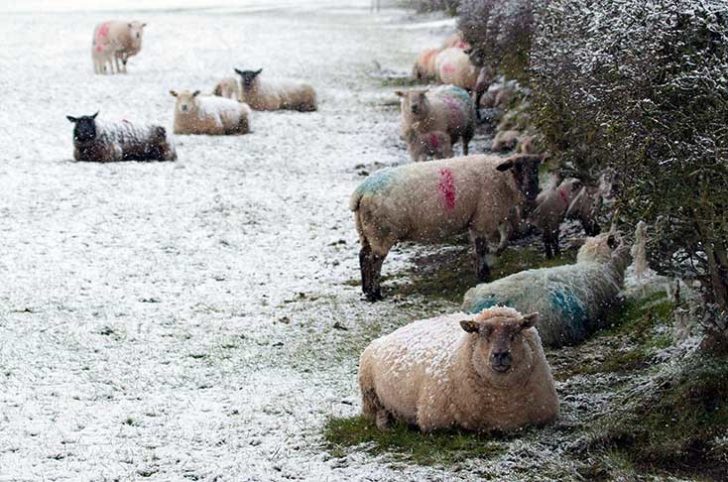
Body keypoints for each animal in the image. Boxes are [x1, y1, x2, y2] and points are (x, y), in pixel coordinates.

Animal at [358, 306, 556, 434]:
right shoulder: (433, 420)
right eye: (482, 334)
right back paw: (386, 424)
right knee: (378, 412)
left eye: (515, 333)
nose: (500, 354)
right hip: (370, 392)